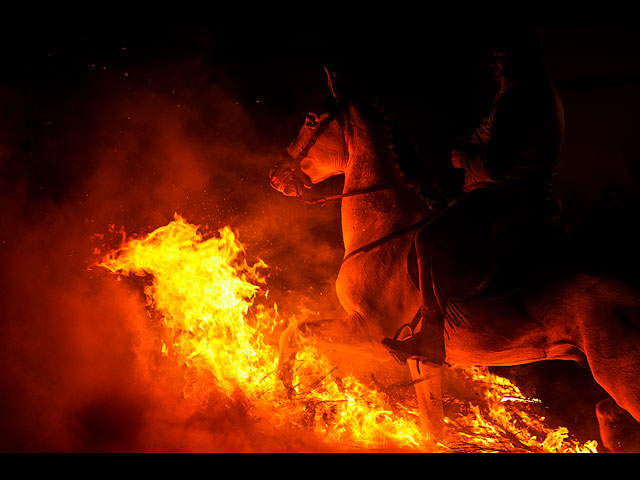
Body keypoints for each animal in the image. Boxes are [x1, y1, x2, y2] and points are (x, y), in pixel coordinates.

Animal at [268, 73, 640, 448]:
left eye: (311, 119)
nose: (277, 174)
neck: (387, 226)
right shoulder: (420, 363)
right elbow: (433, 428)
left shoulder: (367, 332)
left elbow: (294, 329)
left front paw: (285, 388)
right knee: (607, 411)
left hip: (622, 377)